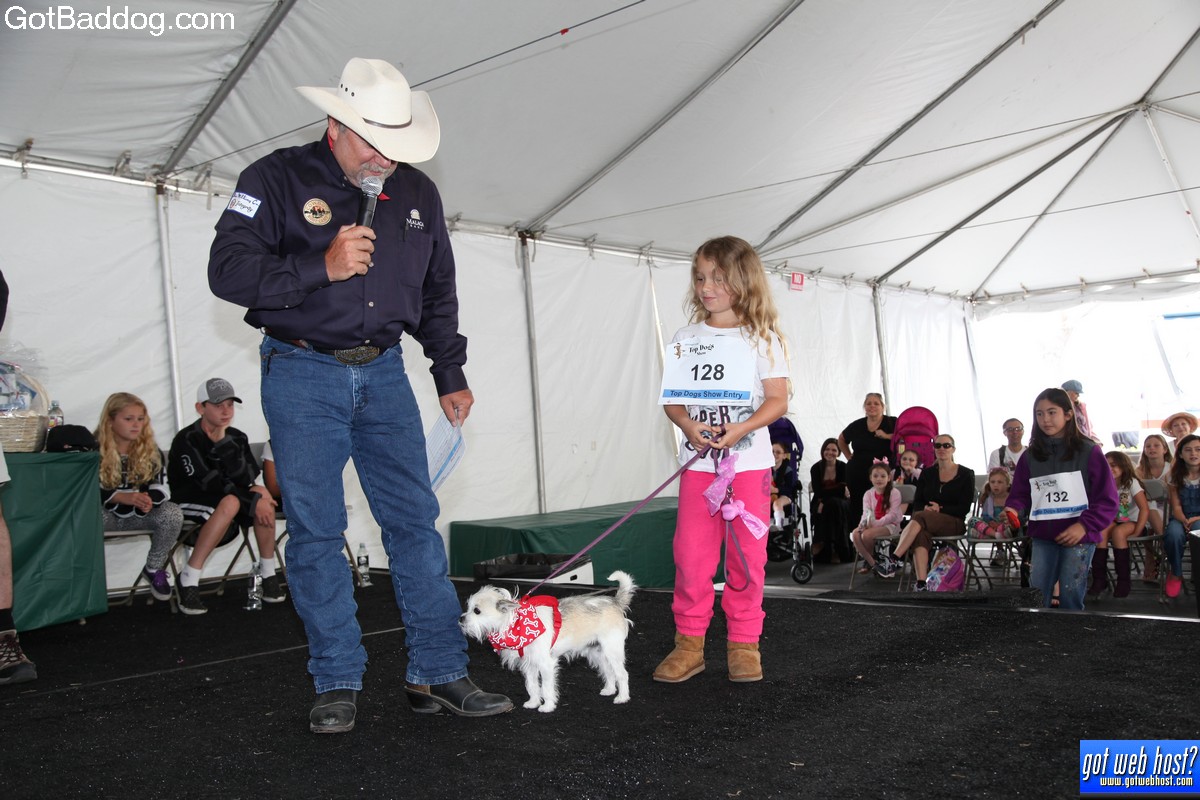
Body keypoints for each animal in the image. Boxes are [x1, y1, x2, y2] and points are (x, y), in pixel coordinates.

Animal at [460, 571, 636, 713]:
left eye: (477, 611)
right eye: (468, 608)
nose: (461, 619)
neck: (516, 623)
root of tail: (616, 602)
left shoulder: (546, 665)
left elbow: (545, 687)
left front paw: (547, 706)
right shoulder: (529, 665)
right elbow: (532, 686)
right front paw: (533, 702)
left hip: (612, 650)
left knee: (623, 674)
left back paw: (622, 697)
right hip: (597, 653)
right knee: (609, 671)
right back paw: (609, 690)